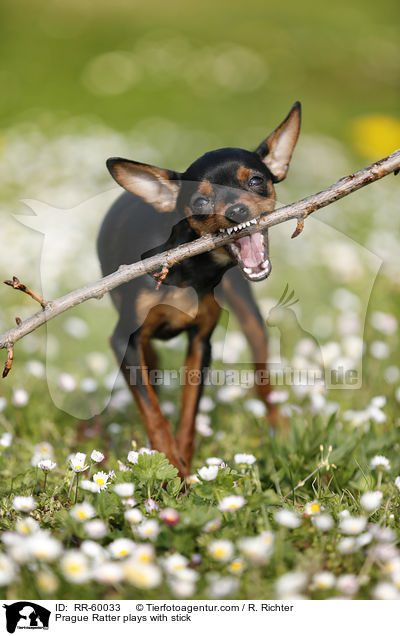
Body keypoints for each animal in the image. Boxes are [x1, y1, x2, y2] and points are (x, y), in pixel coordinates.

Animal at [97, 102, 300, 474]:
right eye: (202, 202)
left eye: (256, 181)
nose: (237, 210)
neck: (189, 272)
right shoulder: (123, 341)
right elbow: (153, 413)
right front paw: (169, 465)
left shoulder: (200, 345)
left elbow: (189, 414)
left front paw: (183, 466)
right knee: (150, 366)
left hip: (251, 319)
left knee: (262, 379)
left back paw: (278, 426)